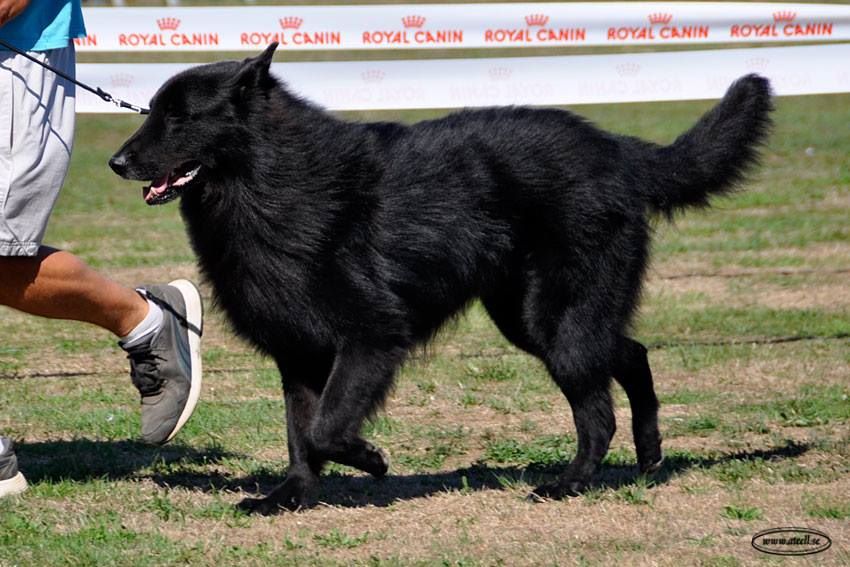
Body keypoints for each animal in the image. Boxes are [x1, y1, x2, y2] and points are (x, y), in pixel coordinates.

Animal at [109, 43, 772, 516]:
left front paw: (372, 460)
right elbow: (301, 433)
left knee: (598, 410)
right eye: (154, 113)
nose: (116, 162)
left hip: (556, 322)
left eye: (178, 118)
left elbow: (327, 427)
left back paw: (572, 483)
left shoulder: (372, 337)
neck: (271, 179)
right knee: (630, 352)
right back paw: (649, 454)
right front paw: (290, 497)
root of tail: (618, 150)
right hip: (533, 319)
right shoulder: (298, 353)